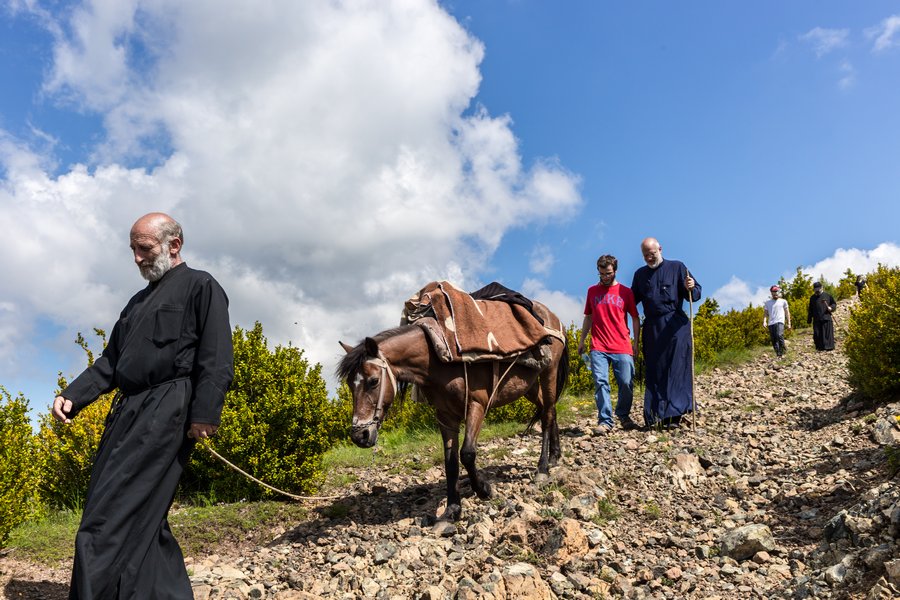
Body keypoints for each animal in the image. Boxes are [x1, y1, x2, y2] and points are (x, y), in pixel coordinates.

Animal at [338, 304, 568, 520]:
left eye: (373, 381)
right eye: (350, 385)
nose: (359, 436)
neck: (437, 359)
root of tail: (553, 317)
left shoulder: (477, 405)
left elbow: (467, 453)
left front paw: (483, 489)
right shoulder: (445, 416)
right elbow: (450, 463)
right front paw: (452, 510)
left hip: (549, 373)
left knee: (547, 416)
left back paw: (543, 468)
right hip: (528, 386)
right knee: (549, 409)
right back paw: (555, 455)